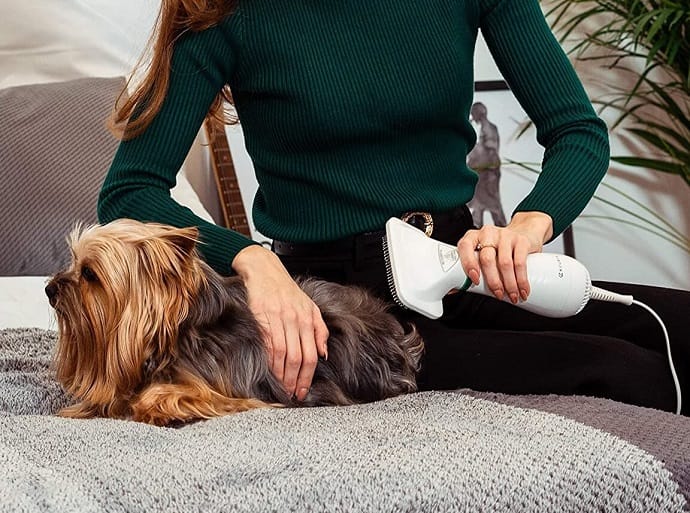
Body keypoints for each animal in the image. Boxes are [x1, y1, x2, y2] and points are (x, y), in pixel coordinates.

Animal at [45, 220, 422, 424]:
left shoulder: (231, 393)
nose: (49, 288)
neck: (175, 337)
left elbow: (166, 395)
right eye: (74, 263)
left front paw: (157, 406)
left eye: (89, 274)